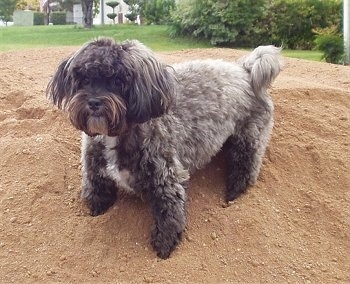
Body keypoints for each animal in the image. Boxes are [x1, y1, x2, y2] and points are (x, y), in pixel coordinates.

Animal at [46, 37, 282, 260]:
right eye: (85, 79)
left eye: (118, 81)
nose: (94, 102)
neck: (116, 135)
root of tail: (246, 71)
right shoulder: (94, 170)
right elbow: (96, 191)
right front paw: (97, 211)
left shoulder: (167, 178)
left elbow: (169, 215)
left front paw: (165, 245)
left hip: (249, 138)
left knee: (245, 169)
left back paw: (234, 193)